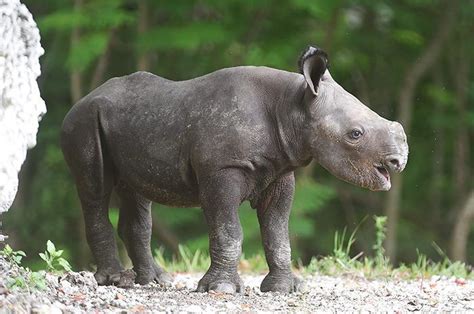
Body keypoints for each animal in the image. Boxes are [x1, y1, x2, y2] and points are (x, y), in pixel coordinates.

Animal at [60, 46, 408, 294]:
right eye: (355, 134)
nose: (399, 161)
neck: (290, 106)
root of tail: (82, 100)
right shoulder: (221, 169)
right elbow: (228, 229)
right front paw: (222, 289)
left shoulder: (280, 171)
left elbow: (277, 232)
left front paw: (284, 289)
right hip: (83, 122)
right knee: (94, 188)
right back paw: (113, 280)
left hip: (128, 123)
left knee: (135, 193)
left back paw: (156, 281)